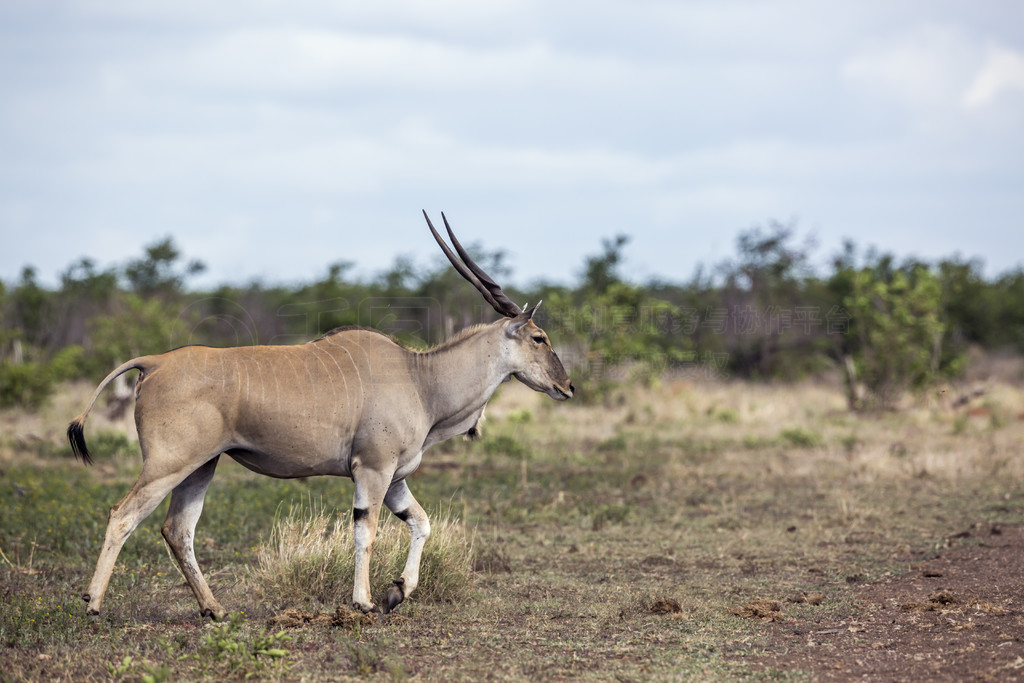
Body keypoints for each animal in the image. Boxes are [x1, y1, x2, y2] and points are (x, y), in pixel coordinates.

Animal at [68, 211, 573, 618]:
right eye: (539, 338)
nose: (567, 386)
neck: (419, 378)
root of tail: (153, 362)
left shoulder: (395, 478)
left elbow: (421, 523)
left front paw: (397, 592)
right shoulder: (372, 470)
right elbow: (365, 530)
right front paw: (365, 601)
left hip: (201, 467)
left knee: (178, 530)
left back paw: (214, 610)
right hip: (168, 465)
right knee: (123, 515)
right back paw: (93, 604)